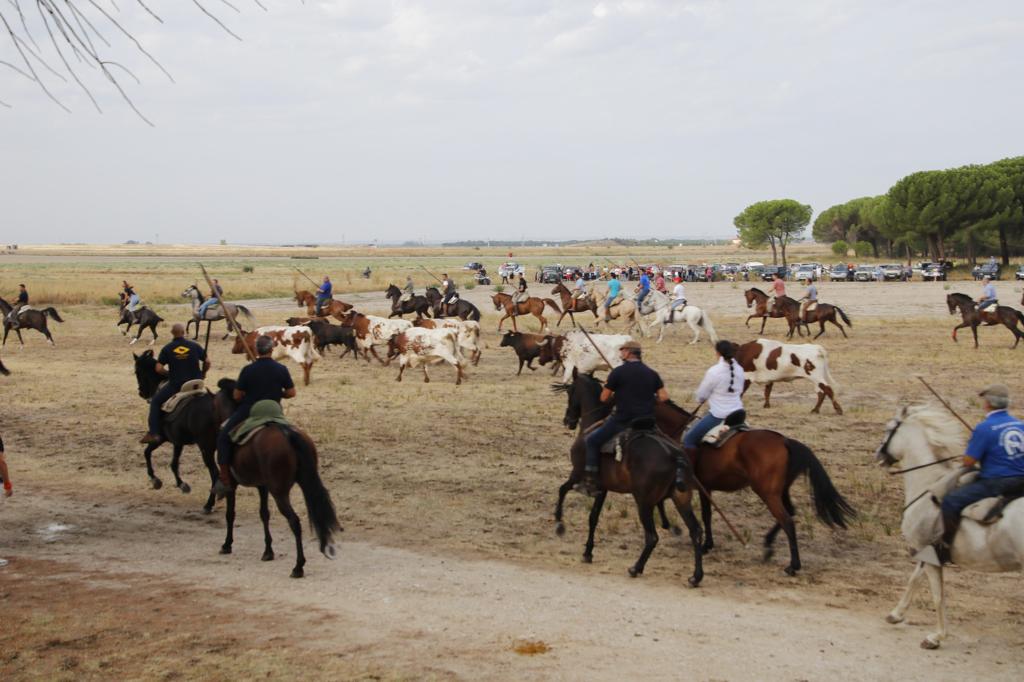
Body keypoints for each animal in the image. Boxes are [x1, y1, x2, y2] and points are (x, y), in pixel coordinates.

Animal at [133, 350, 219, 509]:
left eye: (137, 371)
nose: (141, 392)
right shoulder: (177, 442)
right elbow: (171, 463)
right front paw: (179, 484)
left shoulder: (162, 438)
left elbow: (149, 454)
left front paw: (157, 480)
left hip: (206, 448)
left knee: (216, 473)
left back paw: (209, 504)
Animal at [214, 378, 342, 577]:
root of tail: (287, 433)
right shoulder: (262, 486)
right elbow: (264, 514)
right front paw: (268, 551)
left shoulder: (233, 485)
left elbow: (230, 514)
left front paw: (227, 545)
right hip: (303, 483)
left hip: (280, 492)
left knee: (294, 521)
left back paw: (298, 566)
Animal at [552, 372, 704, 585]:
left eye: (570, 391)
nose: (568, 420)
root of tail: (676, 456)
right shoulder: (602, 488)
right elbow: (593, 518)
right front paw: (588, 552)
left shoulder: (577, 474)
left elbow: (562, 490)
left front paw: (559, 522)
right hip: (681, 498)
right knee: (695, 531)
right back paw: (696, 576)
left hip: (644, 502)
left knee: (652, 537)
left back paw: (636, 567)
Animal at [872, 403, 1024, 647]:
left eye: (888, 428)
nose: (878, 454)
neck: (929, 484)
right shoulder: (927, 552)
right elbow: (915, 579)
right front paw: (896, 614)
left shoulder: (929, 554)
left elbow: (937, 595)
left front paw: (936, 637)